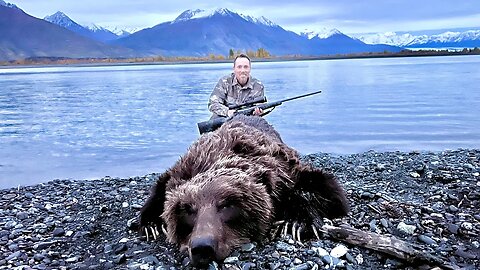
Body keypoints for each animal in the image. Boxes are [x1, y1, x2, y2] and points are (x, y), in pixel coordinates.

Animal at [139, 114, 348, 268]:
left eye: (226, 205)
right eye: (187, 209)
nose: (202, 247)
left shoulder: (285, 169)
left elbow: (330, 194)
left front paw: (298, 222)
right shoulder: (180, 171)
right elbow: (159, 188)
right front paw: (151, 224)